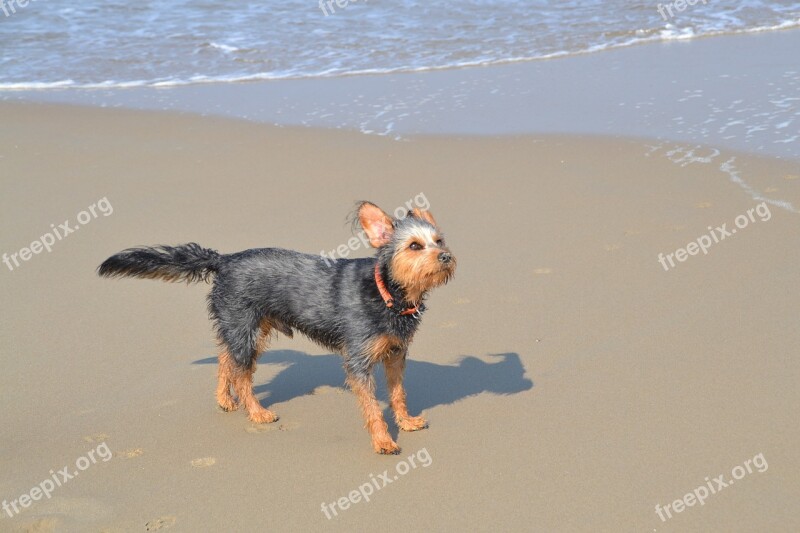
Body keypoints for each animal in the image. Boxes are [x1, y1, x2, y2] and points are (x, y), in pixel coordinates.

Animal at [98, 202, 456, 450]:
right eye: (414, 246)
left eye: (439, 241)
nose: (446, 257)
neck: (387, 294)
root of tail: (224, 260)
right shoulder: (358, 361)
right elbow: (372, 408)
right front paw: (383, 441)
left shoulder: (395, 354)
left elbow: (398, 394)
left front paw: (405, 422)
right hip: (245, 329)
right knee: (242, 375)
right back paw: (256, 412)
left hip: (245, 328)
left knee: (226, 359)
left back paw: (224, 400)